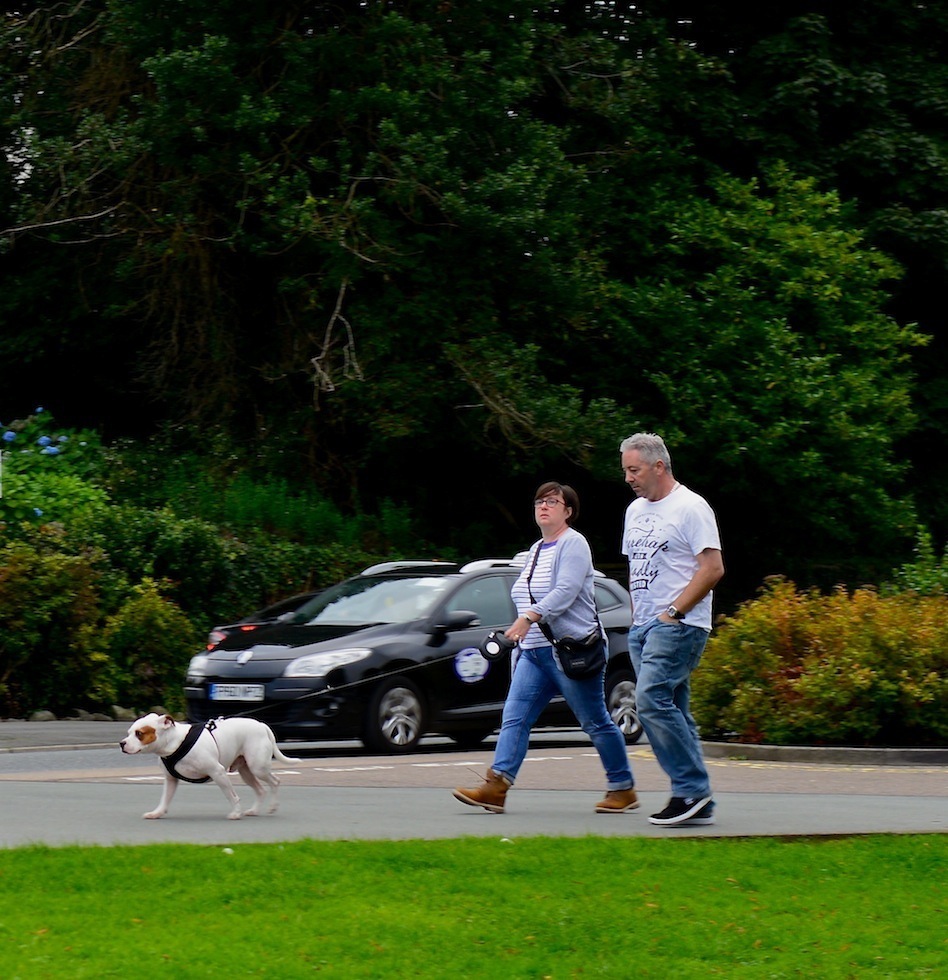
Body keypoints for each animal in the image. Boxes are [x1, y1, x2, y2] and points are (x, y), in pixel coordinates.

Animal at [120, 712, 300, 820]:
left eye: (139, 734)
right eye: (128, 733)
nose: (122, 743)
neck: (175, 743)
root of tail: (262, 725)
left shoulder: (217, 772)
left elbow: (231, 796)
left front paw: (235, 813)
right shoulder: (171, 780)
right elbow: (165, 799)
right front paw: (157, 813)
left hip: (258, 767)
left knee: (275, 782)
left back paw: (272, 807)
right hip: (246, 771)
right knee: (261, 790)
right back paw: (254, 810)